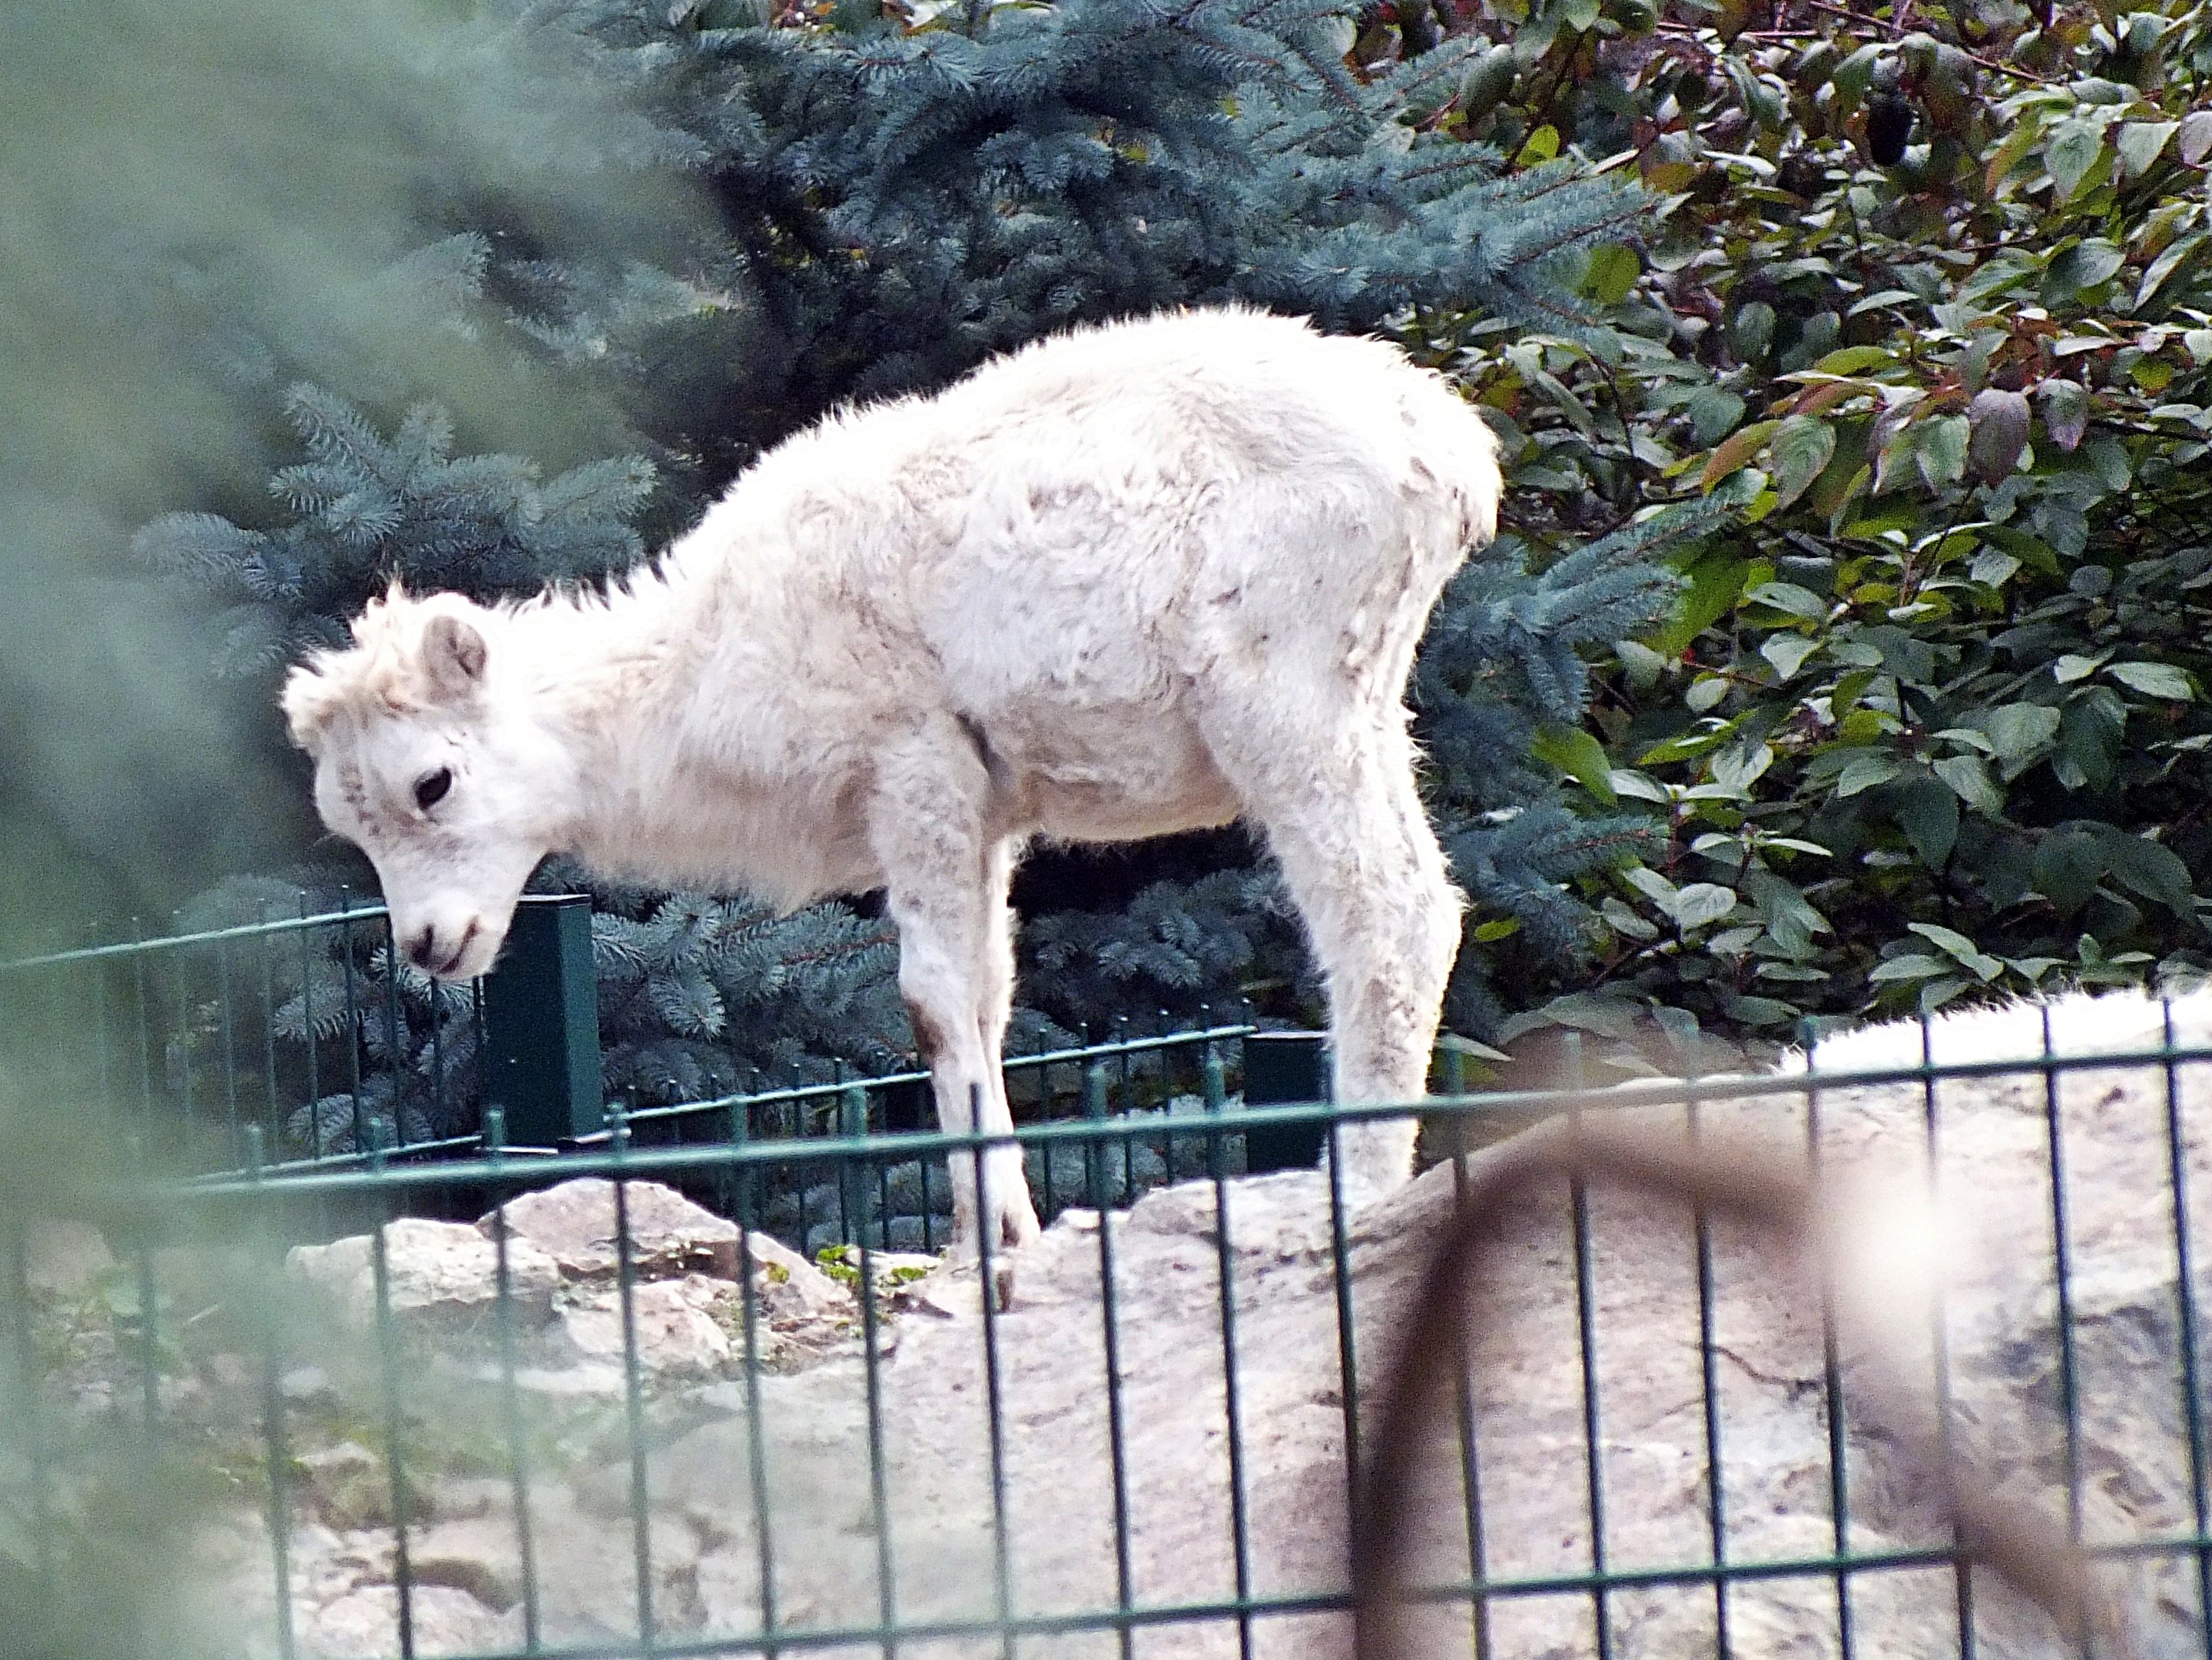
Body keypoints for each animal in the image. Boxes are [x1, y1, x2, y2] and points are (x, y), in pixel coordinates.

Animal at [280, 306, 1504, 1263]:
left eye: (433, 783)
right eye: (350, 826)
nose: (431, 947)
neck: (703, 672)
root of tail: (1449, 457)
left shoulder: (912, 773)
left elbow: (928, 1003)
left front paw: (982, 1243)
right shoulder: (987, 819)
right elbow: (988, 999)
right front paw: (1007, 1227)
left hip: (1290, 705)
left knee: (1389, 920)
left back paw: (1348, 1192)